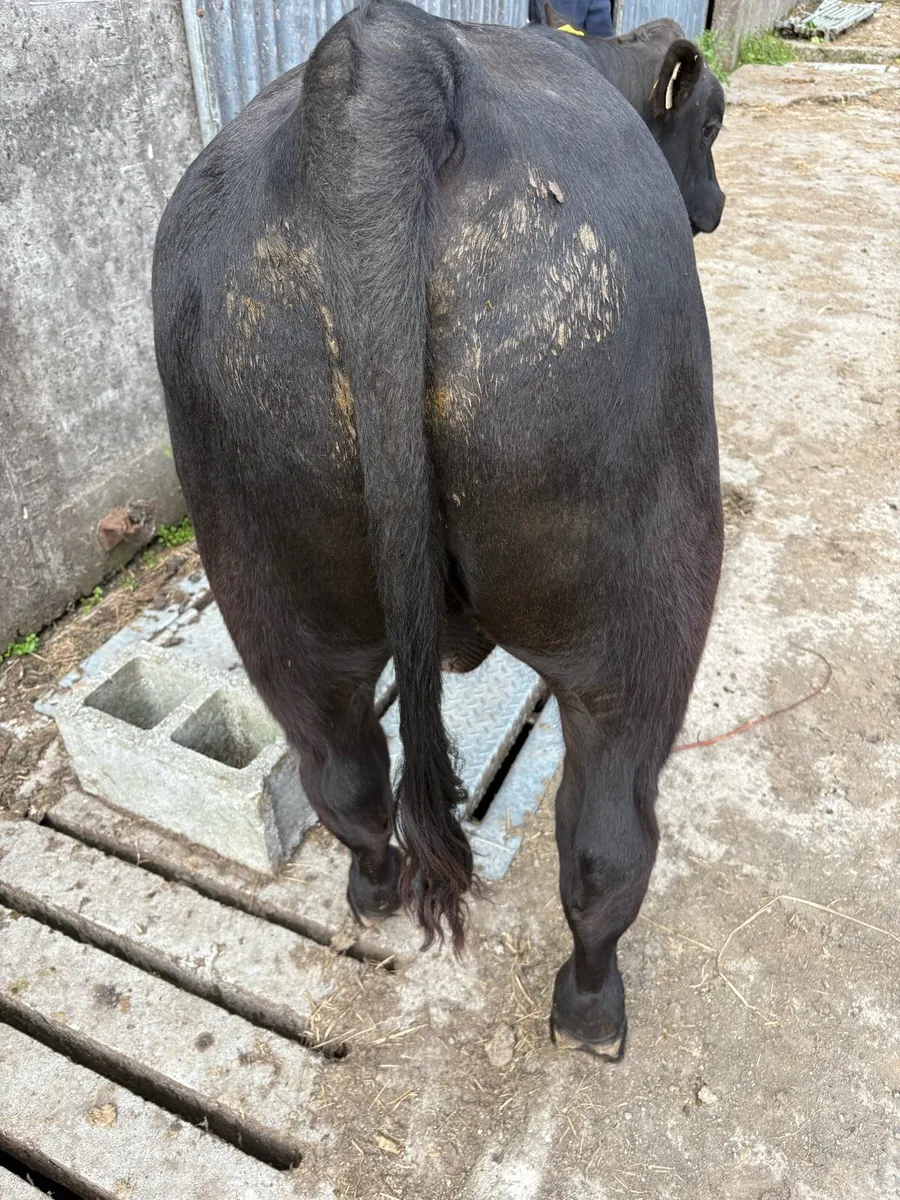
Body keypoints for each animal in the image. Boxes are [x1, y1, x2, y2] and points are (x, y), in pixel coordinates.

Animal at [153, 0, 723, 1058]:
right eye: (710, 123)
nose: (709, 206)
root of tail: (390, 58)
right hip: (641, 590)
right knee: (607, 845)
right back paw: (591, 1011)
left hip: (268, 581)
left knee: (343, 772)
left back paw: (374, 894)